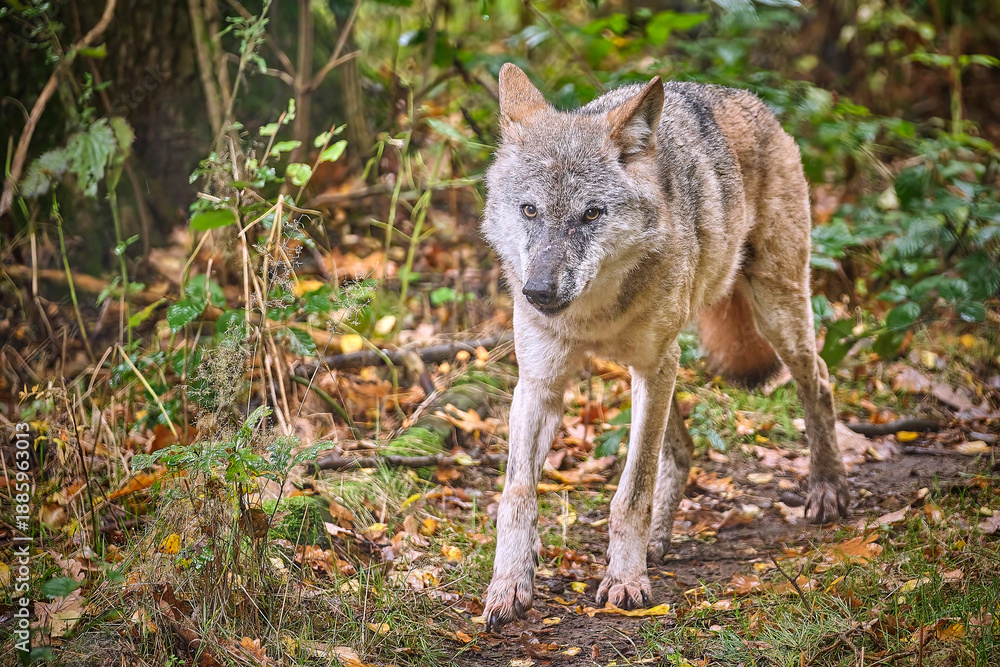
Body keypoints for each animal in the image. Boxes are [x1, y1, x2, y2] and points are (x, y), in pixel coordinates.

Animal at [479, 63, 849, 631]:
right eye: (529, 210)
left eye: (592, 214)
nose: (537, 292)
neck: (593, 314)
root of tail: (745, 99)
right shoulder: (540, 382)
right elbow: (517, 495)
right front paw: (509, 586)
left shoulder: (653, 367)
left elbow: (631, 492)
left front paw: (625, 581)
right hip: (668, 362)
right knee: (681, 448)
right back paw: (657, 541)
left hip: (772, 319)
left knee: (820, 382)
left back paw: (827, 488)